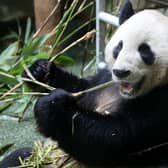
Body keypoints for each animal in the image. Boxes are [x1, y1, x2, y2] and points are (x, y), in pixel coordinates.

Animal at [1, 0, 168, 167]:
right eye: (119, 47)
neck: (123, 93)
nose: (120, 72)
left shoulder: (159, 105)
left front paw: (53, 107)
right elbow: (82, 89)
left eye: (145, 51)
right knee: (17, 157)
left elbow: (113, 139)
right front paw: (39, 71)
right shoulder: (104, 79)